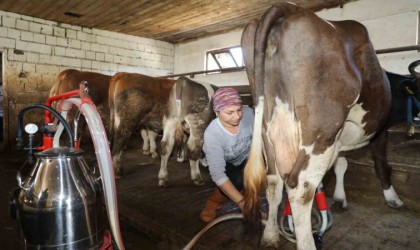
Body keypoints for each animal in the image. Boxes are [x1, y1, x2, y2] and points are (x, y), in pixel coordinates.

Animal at [241, 2, 392, 249]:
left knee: (274, 182)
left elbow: (341, 164)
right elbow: (380, 162)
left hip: (267, 129)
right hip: (322, 132)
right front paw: (392, 197)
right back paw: (307, 242)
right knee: (300, 187)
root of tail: (288, 8)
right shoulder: (378, 132)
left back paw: (270, 236)